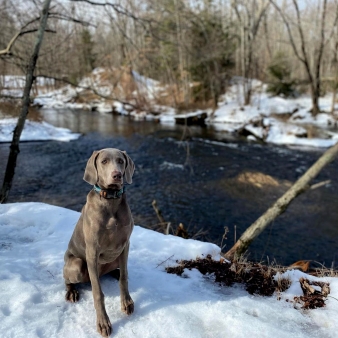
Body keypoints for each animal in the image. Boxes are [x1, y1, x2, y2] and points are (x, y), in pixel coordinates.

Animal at [64, 149, 135, 336]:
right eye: (104, 161)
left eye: (120, 161)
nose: (117, 175)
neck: (110, 200)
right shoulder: (92, 251)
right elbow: (98, 292)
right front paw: (103, 323)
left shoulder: (125, 244)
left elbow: (124, 278)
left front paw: (127, 302)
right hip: (77, 265)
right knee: (69, 280)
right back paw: (71, 292)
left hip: (115, 258)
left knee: (119, 271)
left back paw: (116, 272)